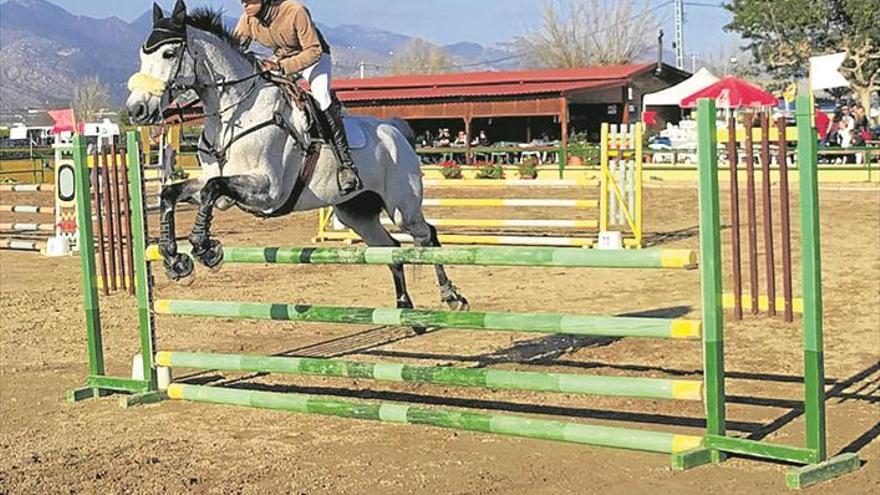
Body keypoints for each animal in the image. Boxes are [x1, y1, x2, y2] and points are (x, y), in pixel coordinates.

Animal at [124, 0, 470, 314]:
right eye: (142, 54)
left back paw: (452, 297)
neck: (235, 114)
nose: (136, 110)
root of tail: (397, 130)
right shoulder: (223, 189)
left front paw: (204, 248)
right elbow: (172, 194)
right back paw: (406, 310)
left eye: (168, 54)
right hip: (355, 213)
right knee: (391, 250)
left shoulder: (267, 190)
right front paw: (174, 258)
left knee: (427, 237)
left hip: (402, 207)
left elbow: (211, 190)